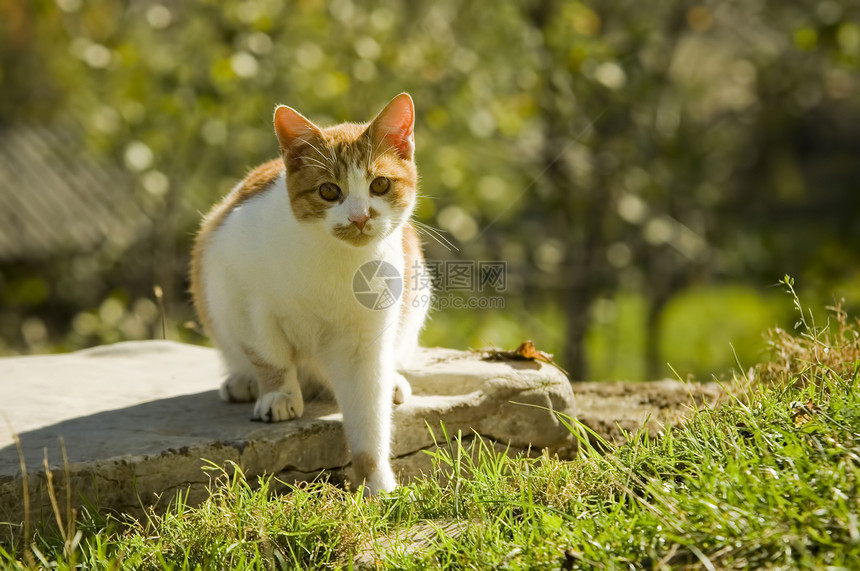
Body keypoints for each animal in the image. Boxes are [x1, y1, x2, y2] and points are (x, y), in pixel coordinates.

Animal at [190, 95, 428, 496]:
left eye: (380, 185)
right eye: (328, 191)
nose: (360, 217)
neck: (334, 264)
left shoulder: (364, 344)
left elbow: (369, 416)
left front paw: (377, 484)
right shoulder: (236, 291)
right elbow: (268, 353)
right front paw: (278, 394)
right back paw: (244, 381)